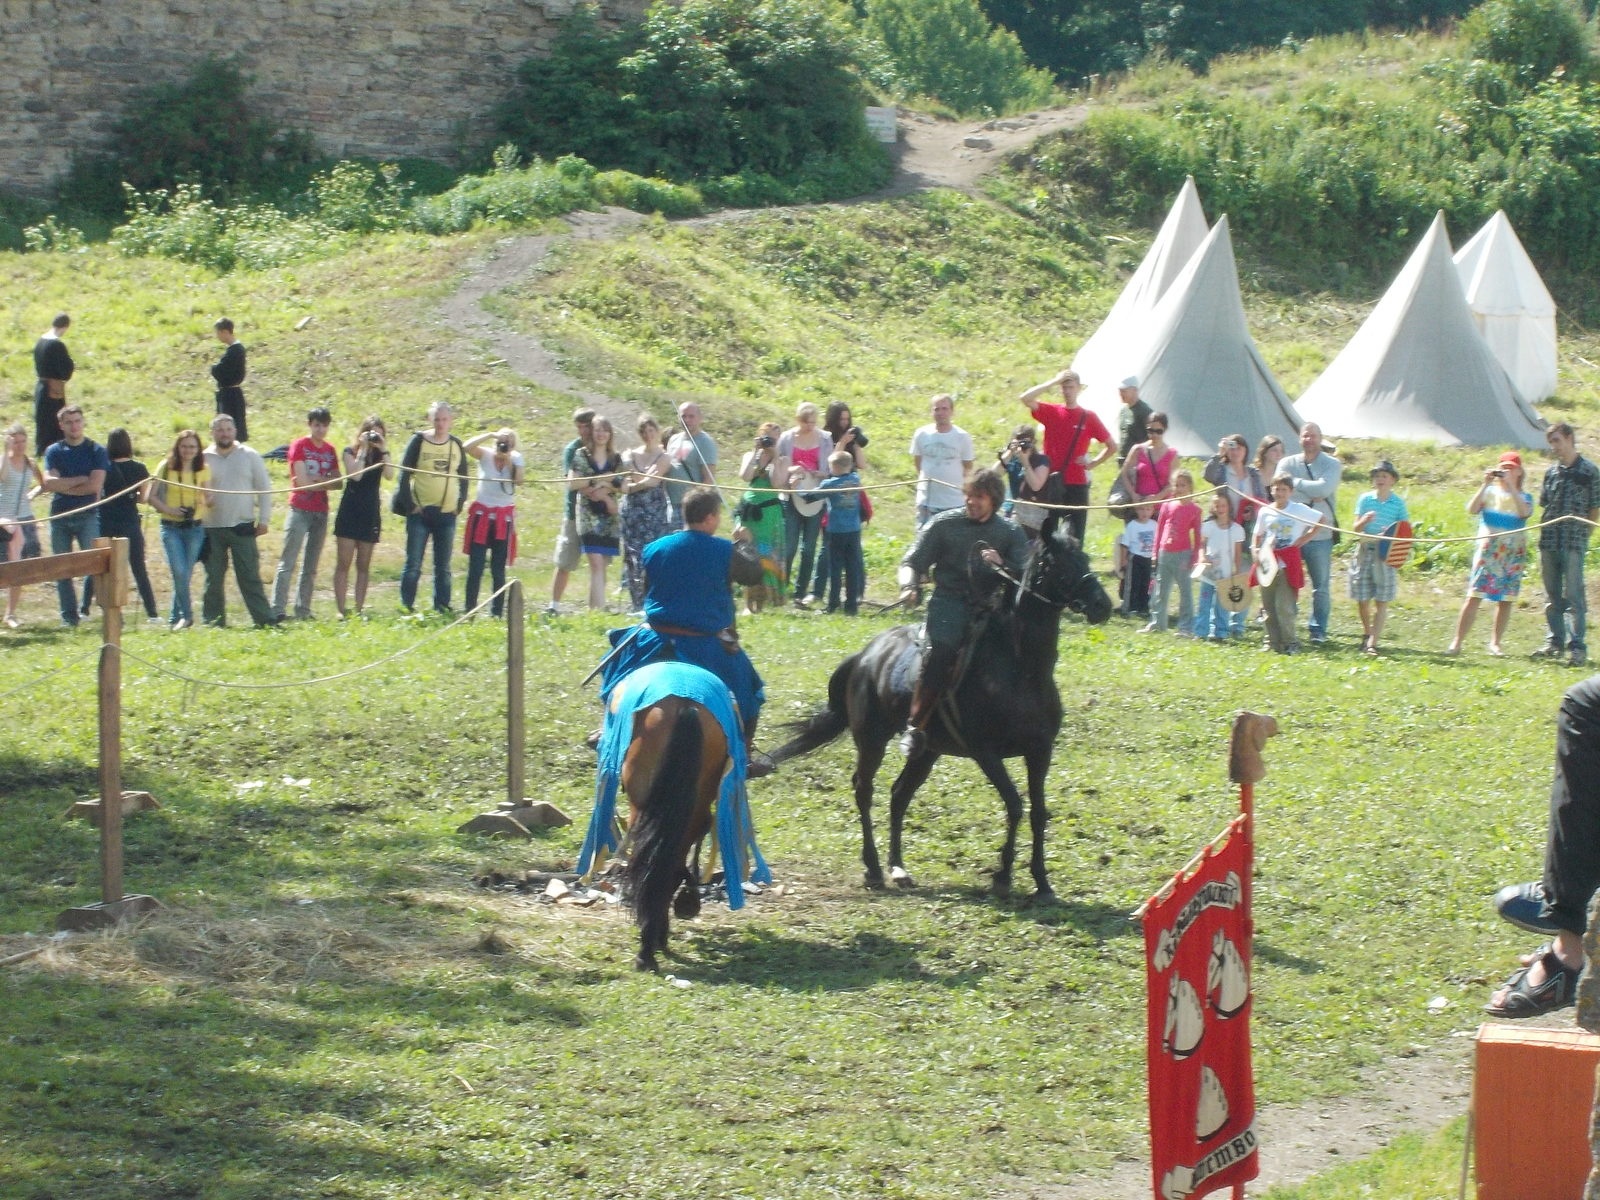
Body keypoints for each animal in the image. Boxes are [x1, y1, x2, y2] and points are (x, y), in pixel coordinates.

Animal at [774, 518, 1113, 902]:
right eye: (1058, 564)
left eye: (1084, 557)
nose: (1102, 604)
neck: (1020, 668)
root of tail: (865, 656)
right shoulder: (985, 753)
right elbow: (1014, 804)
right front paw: (1002, 876)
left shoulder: (1040, 751)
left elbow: (1039, 812)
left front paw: (1041, 882)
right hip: (871, 740)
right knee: (864, 790)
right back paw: (874, 868)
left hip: (927, 753)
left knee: (899, 795)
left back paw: (898, 868)